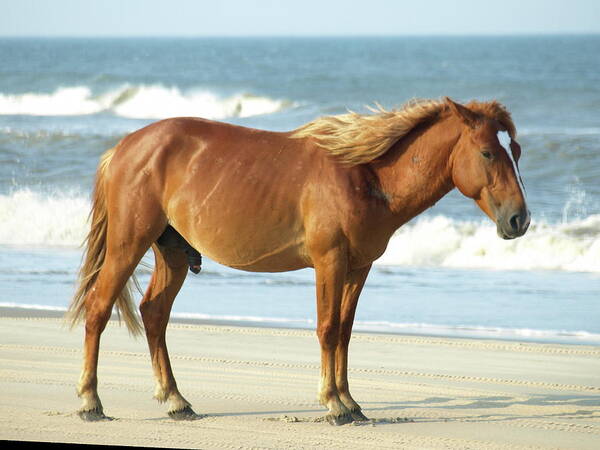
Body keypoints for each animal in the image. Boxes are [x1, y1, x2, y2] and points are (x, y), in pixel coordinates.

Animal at [67, 96, 528, 426]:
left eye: (517, 151)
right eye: (488, 153)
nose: (519, 220)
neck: (365, 177)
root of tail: (124, 147)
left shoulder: (358, 268)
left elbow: (344, 332)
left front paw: (351, 402)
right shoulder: (330, 262)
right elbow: (327, 329)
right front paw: (334, 404)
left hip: (173, 254)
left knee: (154, 314)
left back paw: (176, 400)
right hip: (129, 244)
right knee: (99, 309)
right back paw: (91, 401)